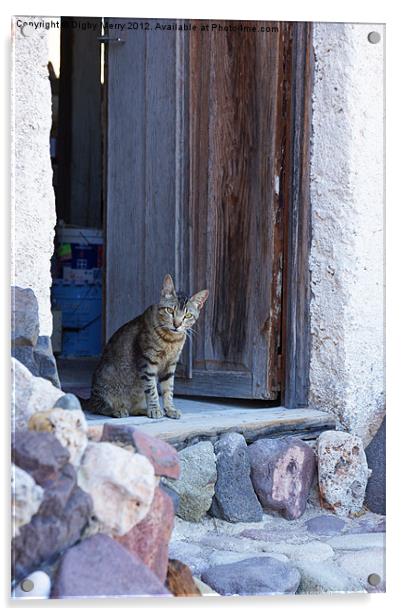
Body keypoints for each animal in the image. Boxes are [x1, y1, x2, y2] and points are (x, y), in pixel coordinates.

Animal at [80, 274, 209, 418]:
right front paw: (155, 409)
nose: (177, 324)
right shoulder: (147, 362)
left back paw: (141, 409)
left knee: (132, 408)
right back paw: (117, 410)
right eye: (170, 310)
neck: (171, 340)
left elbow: (168, 389)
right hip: (104, 383)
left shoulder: (170, 365)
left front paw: (170, 409)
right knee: (98, 406)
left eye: (188, 315)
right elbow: (152, 389)